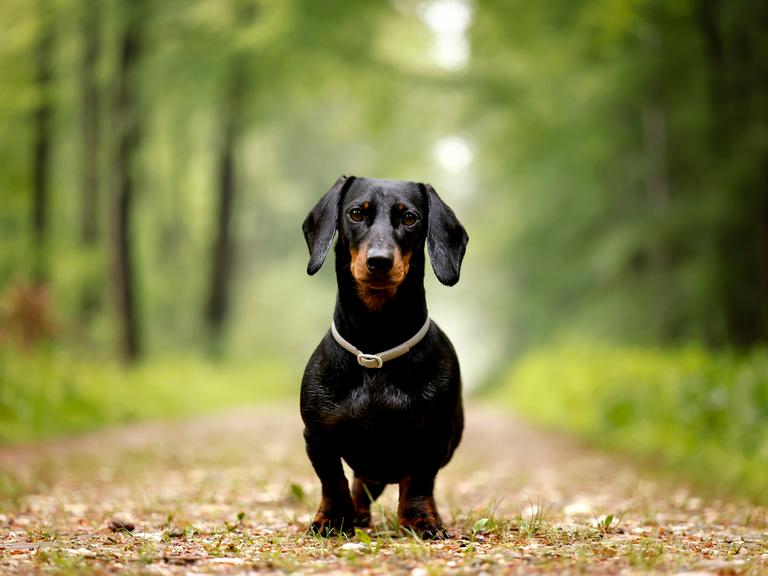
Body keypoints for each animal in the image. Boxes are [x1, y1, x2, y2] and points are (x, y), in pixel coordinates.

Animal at [300, 176, 468, 540]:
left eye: (410, 218)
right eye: (355, 213)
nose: (379, 261)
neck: (374, 350)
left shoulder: (433, 437)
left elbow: (419, 483)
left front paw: (420, 521)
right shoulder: (317, 436)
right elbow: (332, 481)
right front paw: (332, 520)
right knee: (360, 486)